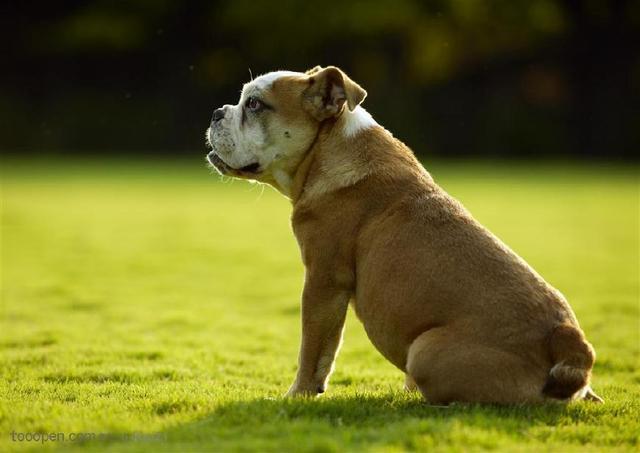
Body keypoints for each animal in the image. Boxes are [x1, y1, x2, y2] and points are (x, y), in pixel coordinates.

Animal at [208, 64, 604, 402]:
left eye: (255, 104)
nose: (217, 112)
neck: (327, 149)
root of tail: (568, 341)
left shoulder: (323, 282)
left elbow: (315, 348)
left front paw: (299, 394)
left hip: (425, 351)